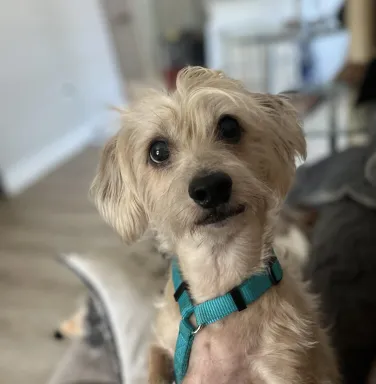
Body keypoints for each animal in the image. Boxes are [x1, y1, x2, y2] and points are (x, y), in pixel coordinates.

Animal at [90, 67, 338, 382]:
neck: (219, 298)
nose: (210, 187)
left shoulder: (287, 367)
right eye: (157, 151)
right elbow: (154, 367)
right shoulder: (160, 342)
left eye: (230, 127)